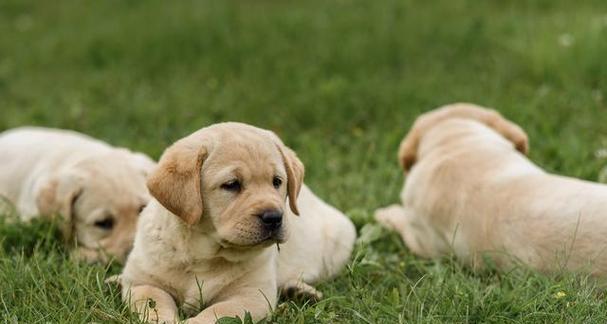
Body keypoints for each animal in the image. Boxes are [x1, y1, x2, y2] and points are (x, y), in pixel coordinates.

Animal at [119, 122, 356, 324]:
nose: (274, 217)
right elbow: (154, 305)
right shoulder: (143, 283)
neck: (204, 257)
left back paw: (299, 291)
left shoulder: (251, 295)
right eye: (232, 184)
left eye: (277, 182)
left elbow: (215, 313)